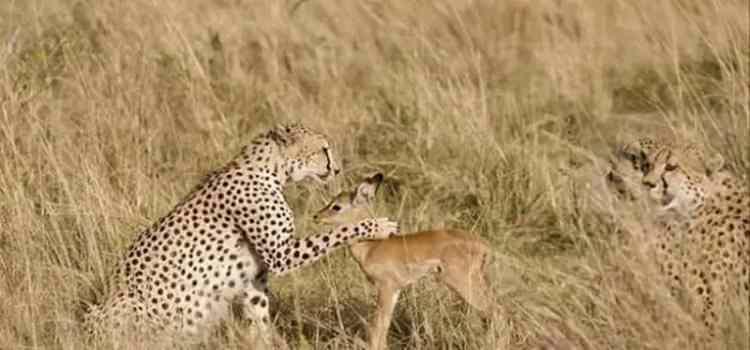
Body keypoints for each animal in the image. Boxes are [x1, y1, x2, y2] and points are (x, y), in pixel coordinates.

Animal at [83, 122, 402, 344]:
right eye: (322, 149)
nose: (336, 169)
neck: (272, 172)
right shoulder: (281, 255)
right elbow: (335, 234)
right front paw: (378, 226)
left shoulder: (255, 277)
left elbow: (259, 317)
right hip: (125, 304)